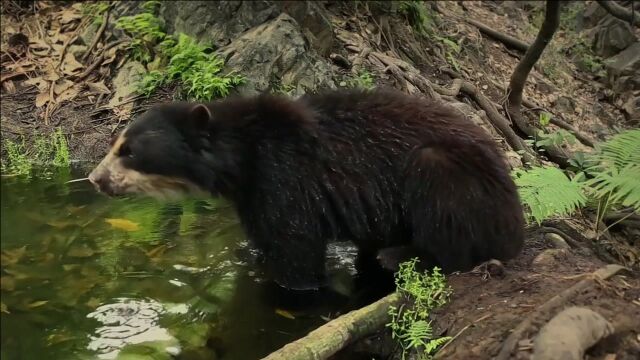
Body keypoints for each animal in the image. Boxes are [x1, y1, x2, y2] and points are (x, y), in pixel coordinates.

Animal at [89, 88, 524, 292]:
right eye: (115, 142)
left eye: (128, 150)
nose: (95, 179)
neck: (241, 161)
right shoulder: (254, 195)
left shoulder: (284, 177)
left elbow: (295, 251)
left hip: (452, 175)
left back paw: (399, 255)